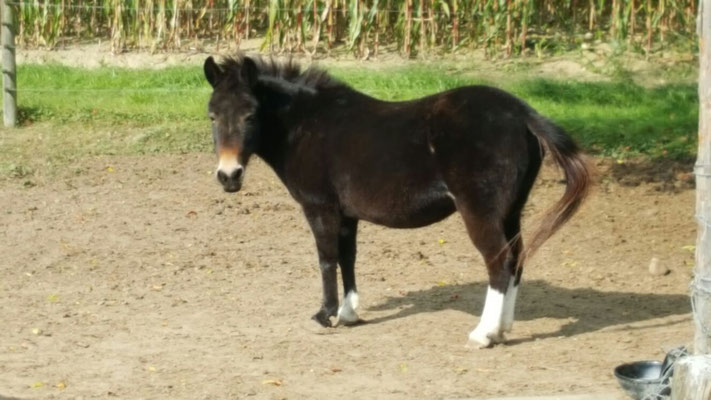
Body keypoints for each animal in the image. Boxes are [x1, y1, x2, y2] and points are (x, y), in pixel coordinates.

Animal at [203, 54, 592, 348]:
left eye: (250, 114)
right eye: (212, 115)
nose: (228, 175)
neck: (307, 125)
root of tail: (523, 114)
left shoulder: (320, 207)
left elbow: (326, 259)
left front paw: (325, 315)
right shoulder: (347, 214)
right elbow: (347, 258)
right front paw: (349, 313)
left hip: (481, 212)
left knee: (499, 262)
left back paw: (483, 334)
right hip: (511, 211)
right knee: (517, 259)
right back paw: (503, 329)